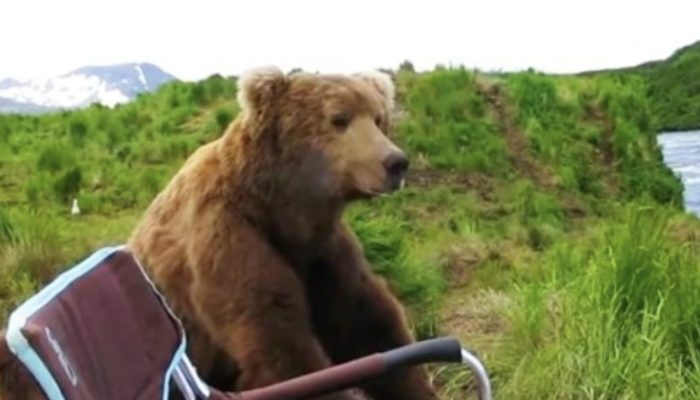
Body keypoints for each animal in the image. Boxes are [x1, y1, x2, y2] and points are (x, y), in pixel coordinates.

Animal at [125, 67, 439, 400]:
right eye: (339, 118)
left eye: (378, 119)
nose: (396, 162)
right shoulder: (227, 238)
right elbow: (279, 342)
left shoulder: (322, 250)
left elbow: (366, 324)